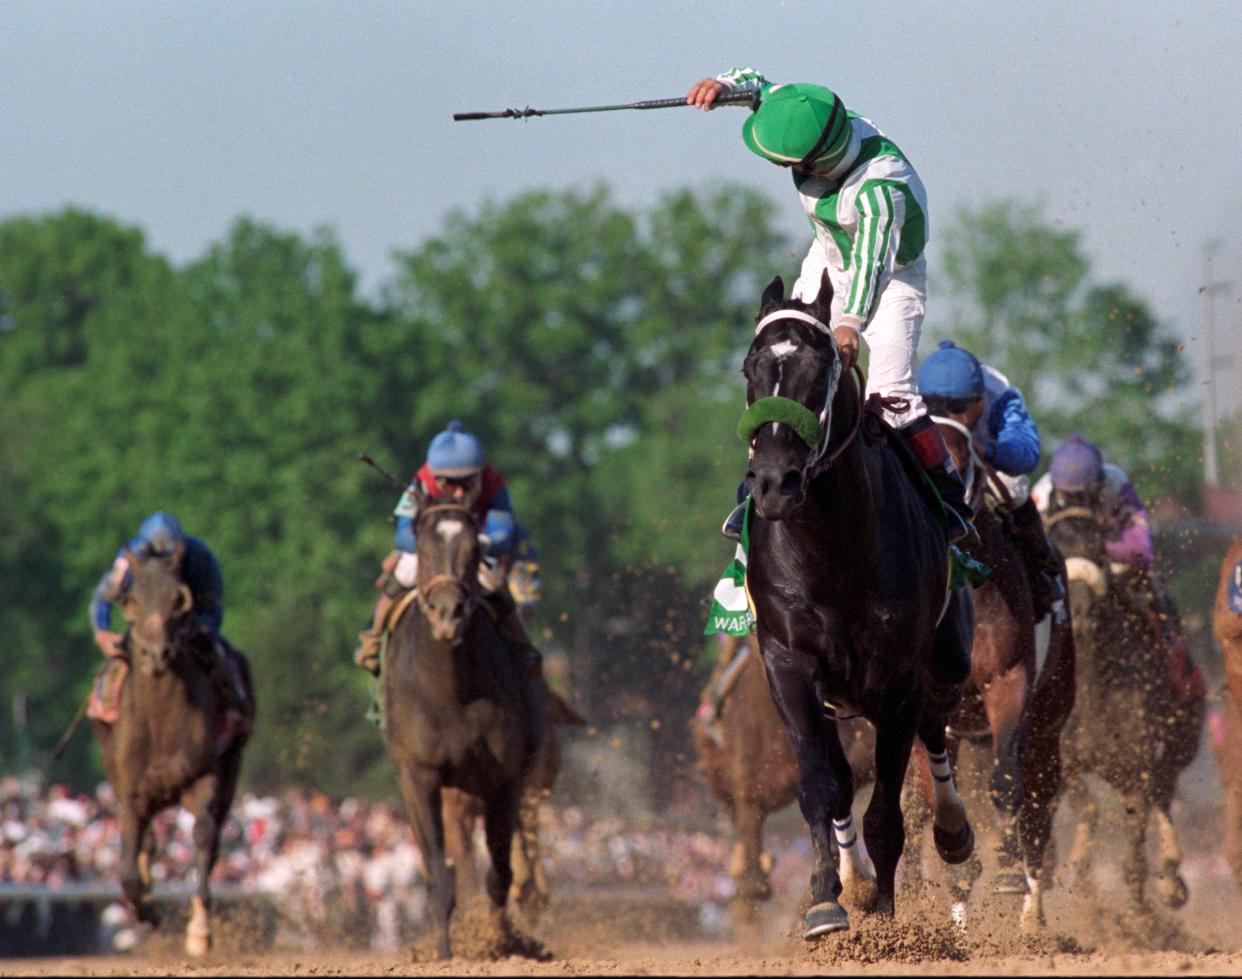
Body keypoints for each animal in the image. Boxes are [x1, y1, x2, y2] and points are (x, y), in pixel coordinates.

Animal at [90, 539, 252, 954]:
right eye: (131, 599)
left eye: (178, 599)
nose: (156, 654)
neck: (161, 723)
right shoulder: (131, 792)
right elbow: (129, 869)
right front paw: (147, 912)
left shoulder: (206, 775)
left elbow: (204, 838)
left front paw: (199, 932)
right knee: (146, 843)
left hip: (231, 764)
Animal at [909, 417, 1073, 929]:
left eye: (964, 458)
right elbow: (937, 801)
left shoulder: (1008, 681)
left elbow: (1005, 782)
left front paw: (1004, 871)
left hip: (1047, 722)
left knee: (1038, 809)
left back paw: (1031, 921)